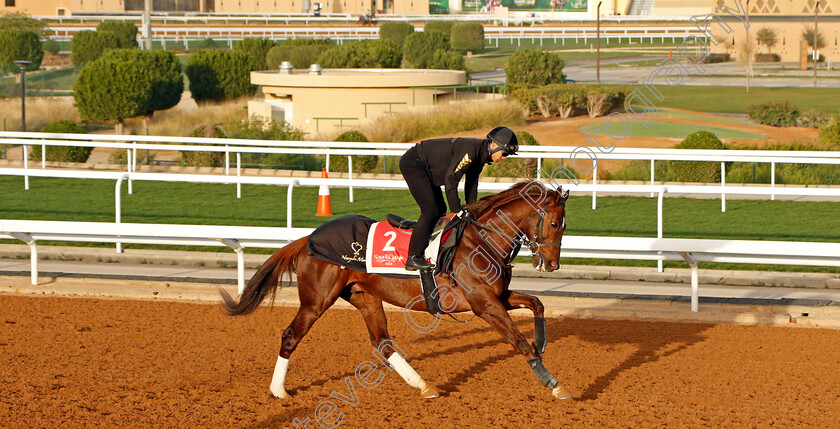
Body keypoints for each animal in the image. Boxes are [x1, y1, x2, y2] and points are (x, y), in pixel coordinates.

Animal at [220, 180, 576, 398]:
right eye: (555, 223)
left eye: (564, 225)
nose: (552, 264)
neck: (481, 240)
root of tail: (308, 239)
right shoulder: (483, 303)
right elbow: (517, 340)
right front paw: (552, 382)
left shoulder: (497, 296)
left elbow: (537, 303)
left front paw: (542, 341)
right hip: (317, 300)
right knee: (291, 335)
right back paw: (279, 390)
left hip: (365, 297)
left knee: (383, 343)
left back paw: (424, 386)